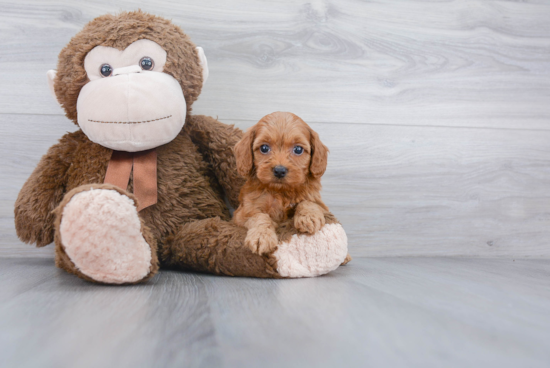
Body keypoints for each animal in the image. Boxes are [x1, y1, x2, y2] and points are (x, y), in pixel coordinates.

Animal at [234, 111, 332, 256]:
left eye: (298, 149)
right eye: (264, 148)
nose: (279, 170)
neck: (281, 191)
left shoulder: (319, 202)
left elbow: (308, 202)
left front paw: (309, 216)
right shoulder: (242, 213)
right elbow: (259, 216)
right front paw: (261, 236)